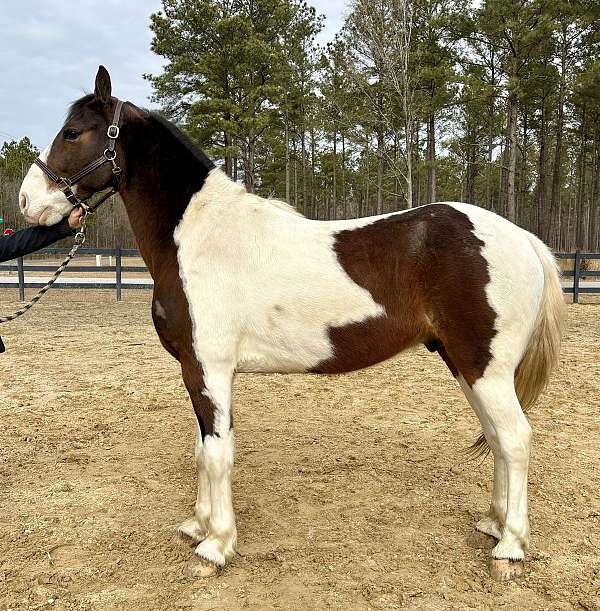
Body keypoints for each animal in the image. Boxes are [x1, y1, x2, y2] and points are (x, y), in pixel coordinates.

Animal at [17, 67, 564, 584]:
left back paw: (510, 549)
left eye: (73, 132)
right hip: (464, 363)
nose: (27, 201)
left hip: (484, 367)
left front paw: (215, 548)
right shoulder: (198, 372)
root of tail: (523, 239)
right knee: (497, 438)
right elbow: (201, 449)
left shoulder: (209, 369)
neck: (200, 235)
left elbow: (217, 454)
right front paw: (198, 526)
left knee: (515, 437)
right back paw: (493, 524)